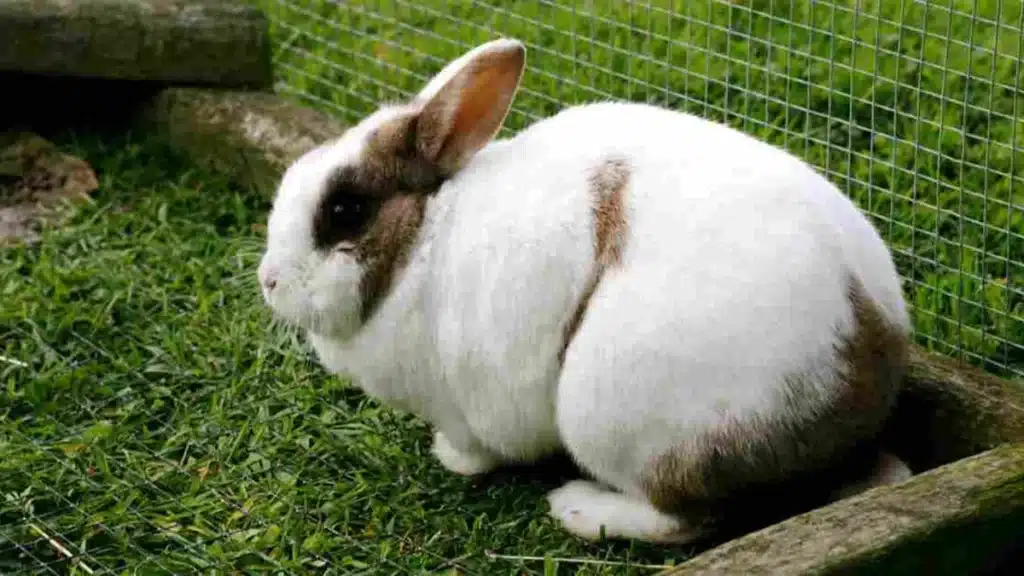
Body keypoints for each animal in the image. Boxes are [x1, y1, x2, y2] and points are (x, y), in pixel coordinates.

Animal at [257, 38, 914, 544]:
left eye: (345, 210)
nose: (269, 281)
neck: (420, 240)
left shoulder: (468, 404)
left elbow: (475, 447)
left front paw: (450, 457)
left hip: (621, 416)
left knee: (687, 519)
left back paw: (577, 507)